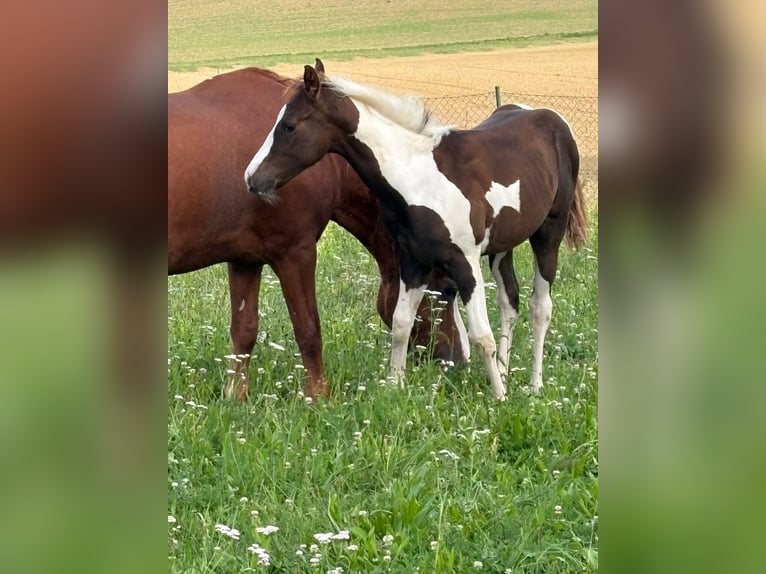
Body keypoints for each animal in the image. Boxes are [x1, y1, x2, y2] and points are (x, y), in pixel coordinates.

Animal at [168, 67, 465, 400]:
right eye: (449, 290)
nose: (459, 361)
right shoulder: (295, 253)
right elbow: (308, 329)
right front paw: (318, 396)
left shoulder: (244, 260)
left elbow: (243, 332)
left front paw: (236, 397)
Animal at [245, 60, 587, 400]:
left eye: (288, 126)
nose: (251, 178)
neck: (418, 179)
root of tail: (551, 117)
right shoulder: (413, 261)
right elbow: (401, 323)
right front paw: (395, 387)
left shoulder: (465, 262)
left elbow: (480, 335)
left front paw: (499, 399)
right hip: (503, 246)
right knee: (509, 301)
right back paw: (504, 372)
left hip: (548, 235)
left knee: (540, 307)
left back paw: (534, 385)